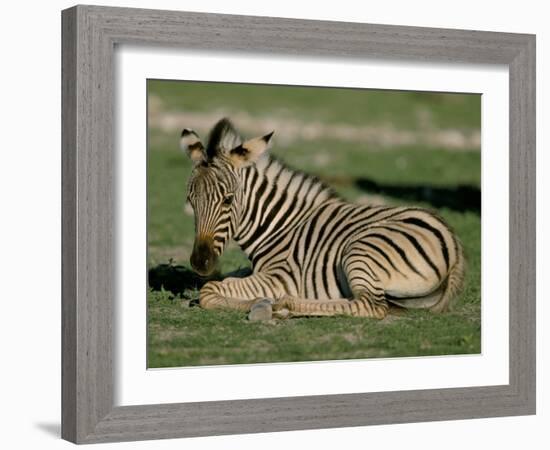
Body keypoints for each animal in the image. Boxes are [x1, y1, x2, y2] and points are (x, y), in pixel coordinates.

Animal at [180, 117, 466, 320]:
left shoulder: (280, 277)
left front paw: (257, 303)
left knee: (371, 306)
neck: (279, 226)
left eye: (228, 200)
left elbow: (210, 291)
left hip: (361, 251)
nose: (200, 263)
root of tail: (453, 245)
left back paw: (285, 305)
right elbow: (223, 281)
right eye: (191, 202)